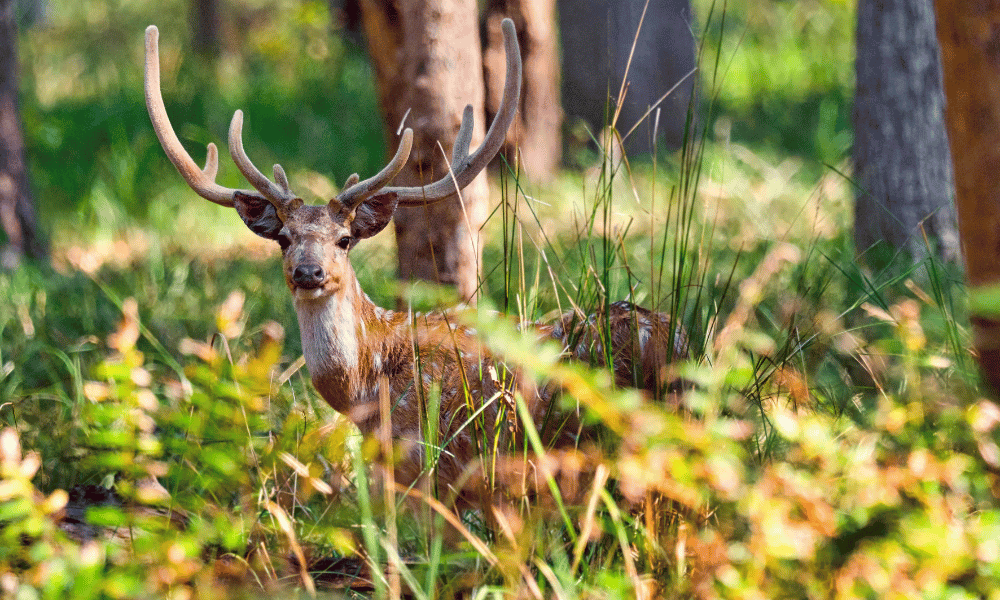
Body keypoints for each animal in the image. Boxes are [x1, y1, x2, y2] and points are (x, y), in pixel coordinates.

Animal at [143, 18, 688, 506]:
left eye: (345, 239)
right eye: (284, 239)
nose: (309, 272)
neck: (367, 391)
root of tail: (678, 341)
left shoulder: (438, 462)